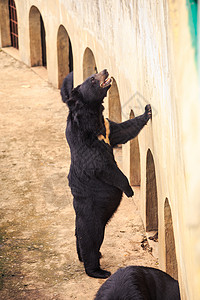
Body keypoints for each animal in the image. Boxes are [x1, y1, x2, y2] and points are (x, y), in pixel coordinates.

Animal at [61, 69, 152, 278]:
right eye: (92, 79)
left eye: (95, 74)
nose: (104, 70)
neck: (93, 118)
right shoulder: (87, 140)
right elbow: (103, 166)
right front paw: (129, 190)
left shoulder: (108, 128)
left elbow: (123, 130)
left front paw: (147, 110)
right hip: (91, 212)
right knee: (90, 238)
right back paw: (98, 270)